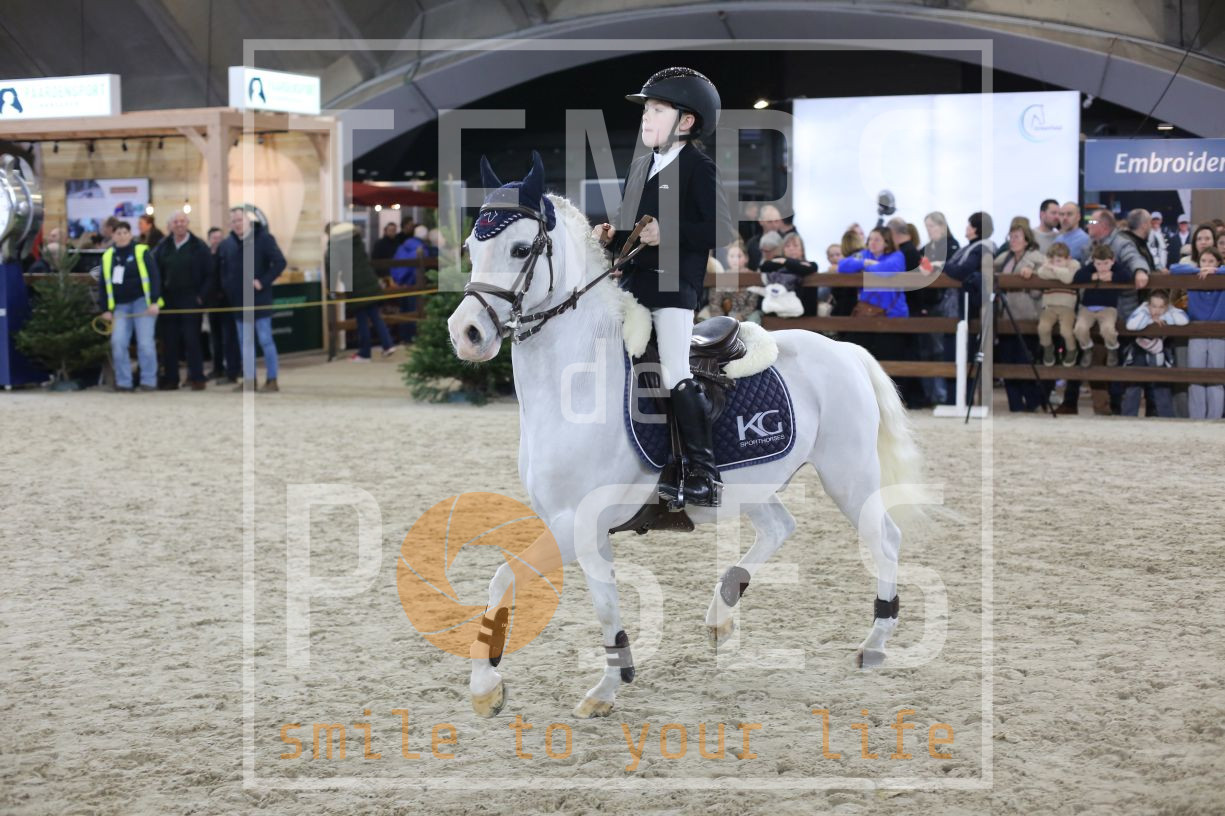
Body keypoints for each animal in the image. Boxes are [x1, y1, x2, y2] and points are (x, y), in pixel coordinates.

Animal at [447, 153, 923, 719]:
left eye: (521, 249)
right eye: (470, 248)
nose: (466, 334)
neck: (577, 382)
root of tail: (843, 349)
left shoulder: (579, 522)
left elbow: (515, 579)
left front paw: (499, 687)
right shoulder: (578, 527)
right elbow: (588, 600)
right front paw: (595, 684)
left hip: (848, 474)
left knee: (886, 538)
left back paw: (874, 644)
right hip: (751, 484)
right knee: (780, 528)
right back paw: (722, 611)